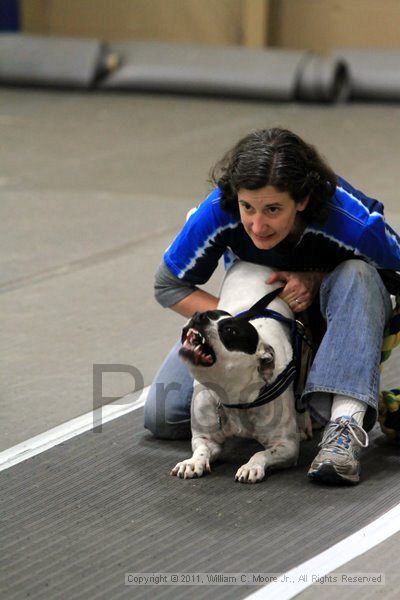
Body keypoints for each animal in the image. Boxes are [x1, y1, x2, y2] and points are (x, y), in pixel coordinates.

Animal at [170, 262, 312, 482]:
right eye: (210, 314)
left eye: (230, 331)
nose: (198, 315)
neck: (232, 396)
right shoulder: (206, 438)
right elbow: (202, 450)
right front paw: (192, 463)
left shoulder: (286, 446)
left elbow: (262, 453)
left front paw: (251, 466)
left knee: (301, 390)